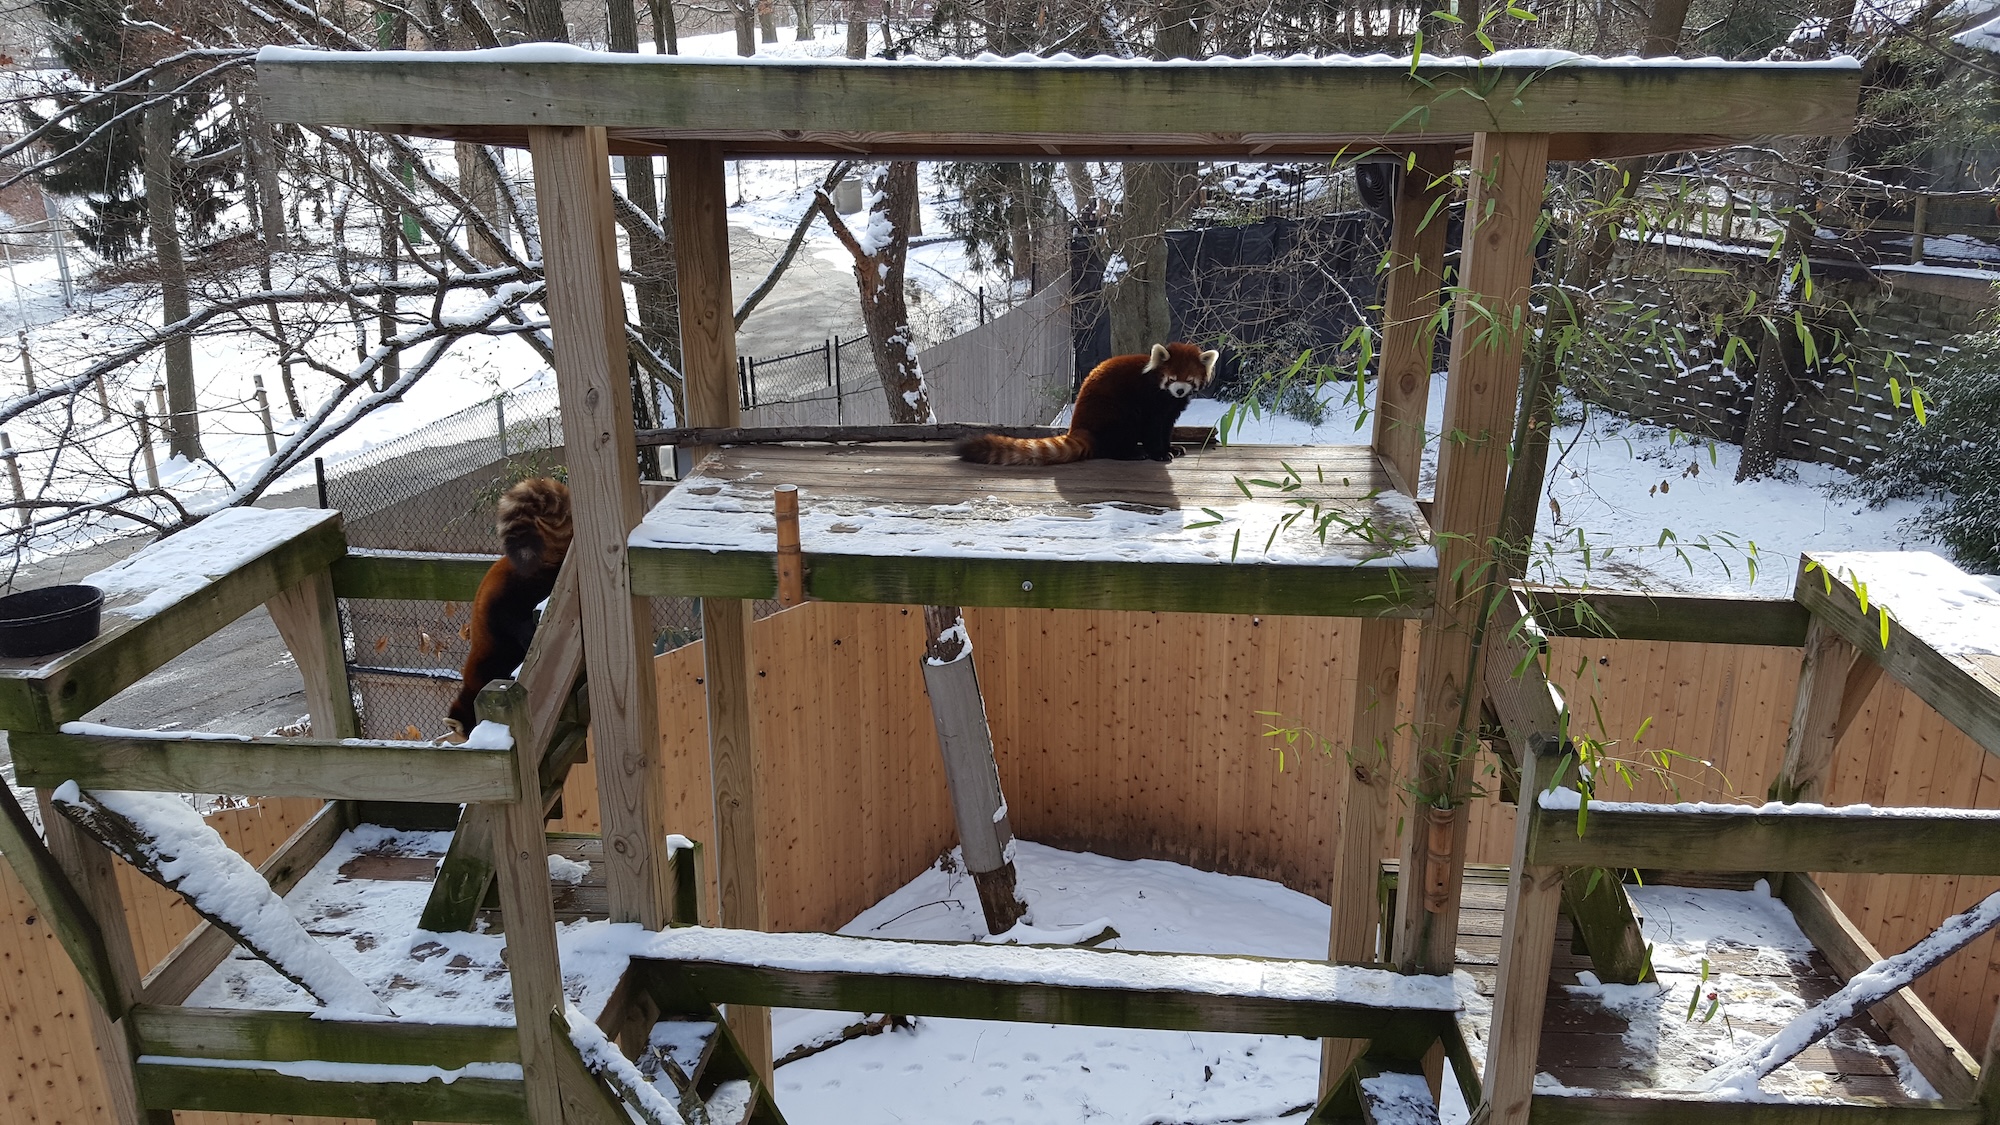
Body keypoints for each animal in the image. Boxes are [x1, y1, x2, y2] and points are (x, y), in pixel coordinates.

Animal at [952, 342, 1216, 464]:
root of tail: (1079, 426)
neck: (1166, 395)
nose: (1180, 390)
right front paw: (1159, 453)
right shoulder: (1150, 400)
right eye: (1171, 378)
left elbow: (1166, 428)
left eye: (1188, 380)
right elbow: (1152, 429)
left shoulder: (1171, 408)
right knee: (1122, 430)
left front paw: (1172, 447)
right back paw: (1131, 452)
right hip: (1113, 412)